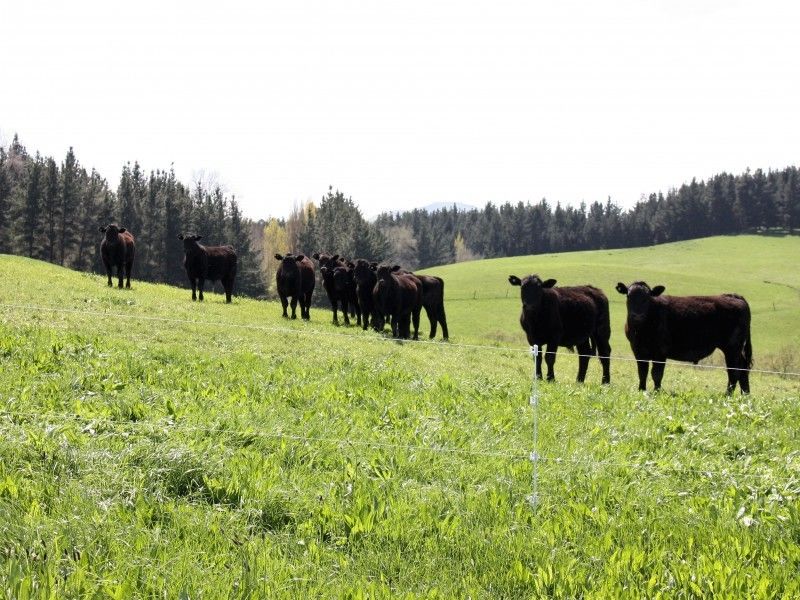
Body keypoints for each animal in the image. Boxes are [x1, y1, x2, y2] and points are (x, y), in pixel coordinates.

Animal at [616, 282, 752, 394]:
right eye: (628, 296)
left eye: (648, 297)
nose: (637, 316)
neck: (641, 330)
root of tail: (733, 296)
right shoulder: (638, 350)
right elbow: (642, 372)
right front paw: (641, 390)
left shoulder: (660, 352)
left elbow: (656, 374)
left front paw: (656, 392)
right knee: (743, 369)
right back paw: (745, 395)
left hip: (732, 348)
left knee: (734, 371)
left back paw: (727, 395)